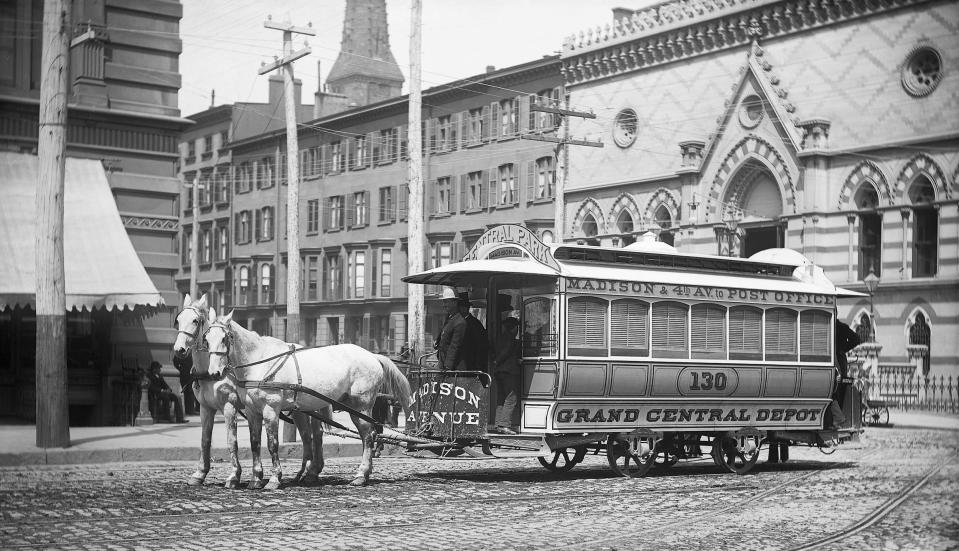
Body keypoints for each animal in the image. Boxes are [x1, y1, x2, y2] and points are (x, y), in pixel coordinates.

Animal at [177, 296, 330, 490]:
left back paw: (313, 472)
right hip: (299, 410)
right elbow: (205, 440)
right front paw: (199, 474)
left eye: (195, 321)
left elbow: (232, 441)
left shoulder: (229, 406)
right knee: (306, 436)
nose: (179, 350)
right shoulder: (206, 408)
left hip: (313, 408)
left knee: (316, 435)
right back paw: (308, 472)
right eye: (178, 319)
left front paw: (234, 476)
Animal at [204, 310, 410, 488]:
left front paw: (274, 479)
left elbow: (272, 444)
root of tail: (373, 356)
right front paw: (256, 479)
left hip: (361, 406)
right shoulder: (252, 410)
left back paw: (361, 474)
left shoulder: (271, 410)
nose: (214, 373)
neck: (259, 363)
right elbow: (255, 443)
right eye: (206, 339)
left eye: (224, 338)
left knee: (368, 436)